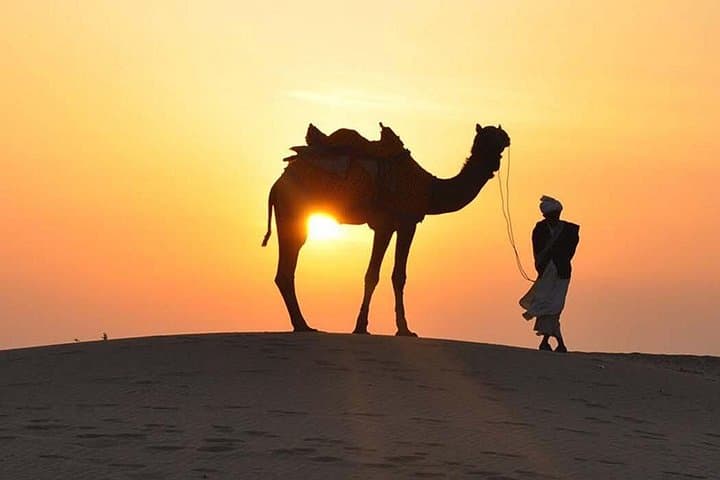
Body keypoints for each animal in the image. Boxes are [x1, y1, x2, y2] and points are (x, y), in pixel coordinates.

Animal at [262, 123, 510, 336]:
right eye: (487, 138)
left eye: (500, 137)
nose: (506, 140)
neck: (430, 189)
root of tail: (277, 184)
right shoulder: (404, 222)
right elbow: (390, 275)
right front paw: (399, 330)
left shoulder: (389, 225)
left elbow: (379, 274)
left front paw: (368, 326)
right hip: (293, 213)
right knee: (286, 269)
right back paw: (303, 325)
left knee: (285, 271)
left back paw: (302, 325)